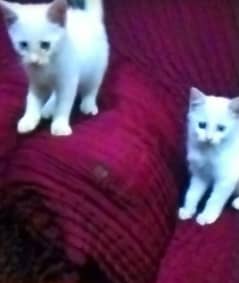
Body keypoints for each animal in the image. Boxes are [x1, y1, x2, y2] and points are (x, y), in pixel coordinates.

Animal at [0, 0, 109, 136]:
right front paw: (28, 119)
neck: (47, 67)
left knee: (92, 87)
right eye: (23, 45)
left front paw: (60, 125)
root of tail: (88, 16)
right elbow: (32, 99)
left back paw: (88, 104)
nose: (34, 61)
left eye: (45, 45)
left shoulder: (68, 80)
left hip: (96, 68)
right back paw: (49, 107)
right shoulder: (37, 82)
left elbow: (64, 103)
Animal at [178, 87, 239, 226]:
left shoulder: (227, 178)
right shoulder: (200, 174)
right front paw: (188, 210)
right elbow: (192, 194)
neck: (209, 153)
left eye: (221, 128)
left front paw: (207, 216)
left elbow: (214, 199)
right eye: (202, 125)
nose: (208, 138)